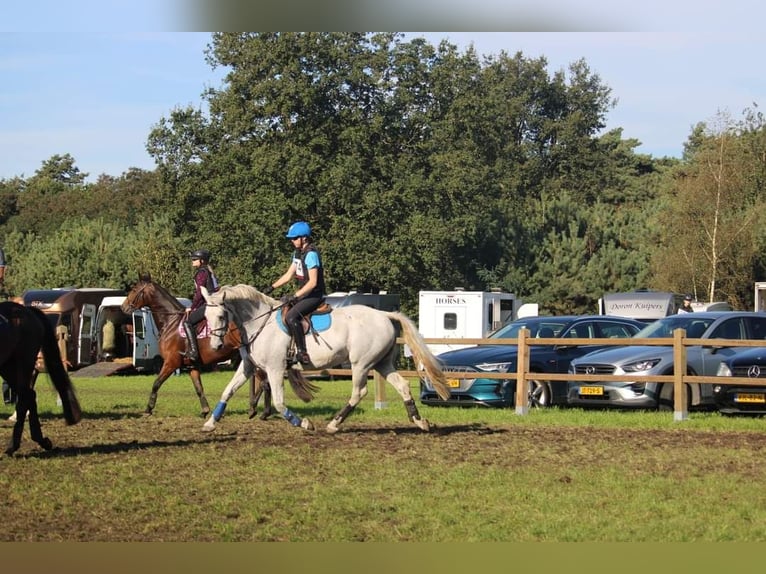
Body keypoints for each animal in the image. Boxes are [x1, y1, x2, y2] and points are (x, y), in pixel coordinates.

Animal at [0, 300, 81, 456]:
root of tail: (28, 310)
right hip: (7, 367)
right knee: (30, 395)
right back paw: (40, 440)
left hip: (23, 363)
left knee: (25, 397)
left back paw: (14, 446)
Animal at [121, 274, 274, 418]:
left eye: (134, 289)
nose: (123, 307)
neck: (171, 321)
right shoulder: (192, 365)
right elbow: (199, 388)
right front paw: (205, 410)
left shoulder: (171, 362)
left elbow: (156, 383)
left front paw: (148, 409)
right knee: (263, 382)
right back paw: (254, 409)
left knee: (265, 383)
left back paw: (262, 411)